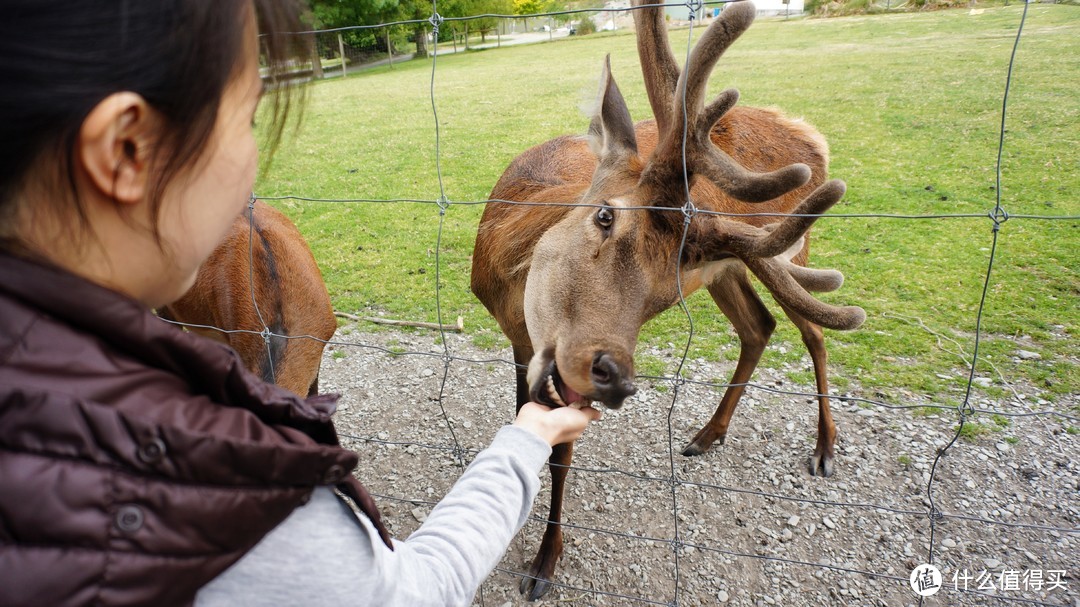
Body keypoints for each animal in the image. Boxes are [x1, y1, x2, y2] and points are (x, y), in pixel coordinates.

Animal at [468, 0, 864, 596]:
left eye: (662, 291)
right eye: (604, 216)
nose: (610, 372)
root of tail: (813, 137)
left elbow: (559, 457)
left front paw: (543, 564)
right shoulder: (520, 344)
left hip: (791, 251)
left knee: (812, 330)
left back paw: (823, 449)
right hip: (737, 265)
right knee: (760, 325)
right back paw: (707, 434)